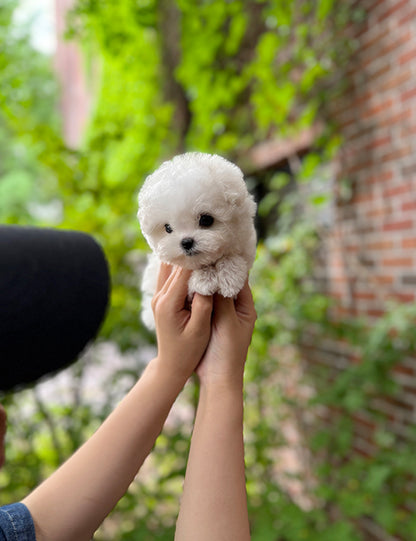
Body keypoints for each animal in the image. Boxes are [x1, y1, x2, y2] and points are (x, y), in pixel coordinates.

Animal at [138, 152, 255, 330]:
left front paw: (230, 277)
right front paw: (204, 279)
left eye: (206, 220)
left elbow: (235, 257)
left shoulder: (245, 244)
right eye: (167, 228)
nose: (186, 242)